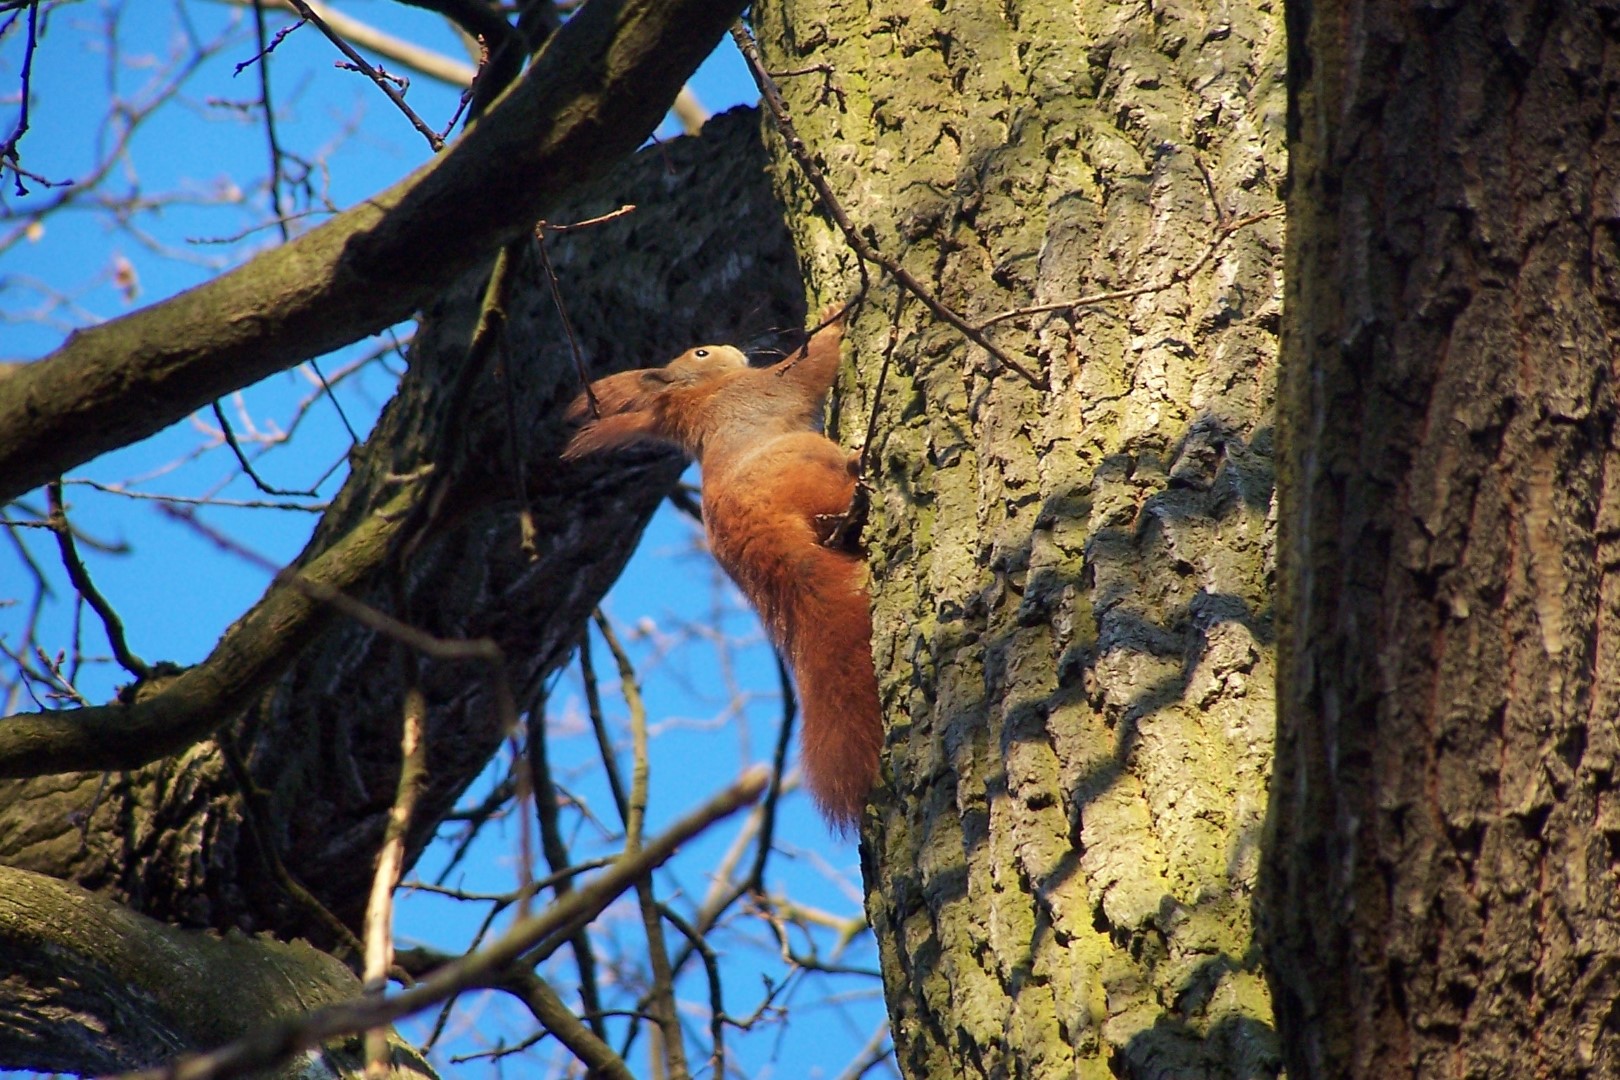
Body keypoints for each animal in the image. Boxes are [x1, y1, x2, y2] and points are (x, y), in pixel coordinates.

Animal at [560, 317, 887, 835]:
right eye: (701, 353)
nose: (733, 346)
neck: (700, 398)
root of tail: (764, 539)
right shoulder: (765, 388)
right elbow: (812, 363)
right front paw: (838, 314)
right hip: (810, 464)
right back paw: (857, 475)